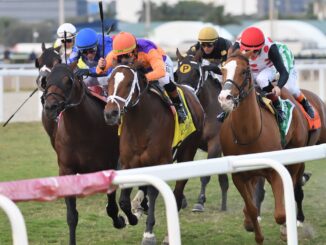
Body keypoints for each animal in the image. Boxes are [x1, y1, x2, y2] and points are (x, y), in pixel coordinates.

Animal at [43, 64, 125, 244]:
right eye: (47, 81)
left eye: (69, 81)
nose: (50, 107)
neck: (82, 131)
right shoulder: (67, 170)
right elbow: (72, 216)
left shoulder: (108, 164)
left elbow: (111, 206)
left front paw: (121, 220)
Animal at [103, 63, 204, 245]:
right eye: (109, 82)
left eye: (129, 84)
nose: (110, 113)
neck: (141, 124)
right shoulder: (127, 163)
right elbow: (124, 201)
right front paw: (129, 218)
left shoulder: (160, 162)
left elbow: (153, 192)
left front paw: (148, 233)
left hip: (188, 152)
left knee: (177, 193)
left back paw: (168, 235)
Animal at [176, 48, 229, 212]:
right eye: (177, 73)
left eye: (195, 73)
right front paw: (183, 199)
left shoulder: (215, 143)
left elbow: (206, 174)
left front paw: (200, 201)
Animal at [216, 50, 326, 244]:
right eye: (222, 70)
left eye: (244, 71)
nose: (225, 98)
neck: (248, 133)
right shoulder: (239, 175)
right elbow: (251, 208)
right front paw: (255, 231)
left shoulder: (274, 170)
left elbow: (281, 213)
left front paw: (285, 230)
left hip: (296, 154)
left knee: (294, 187)